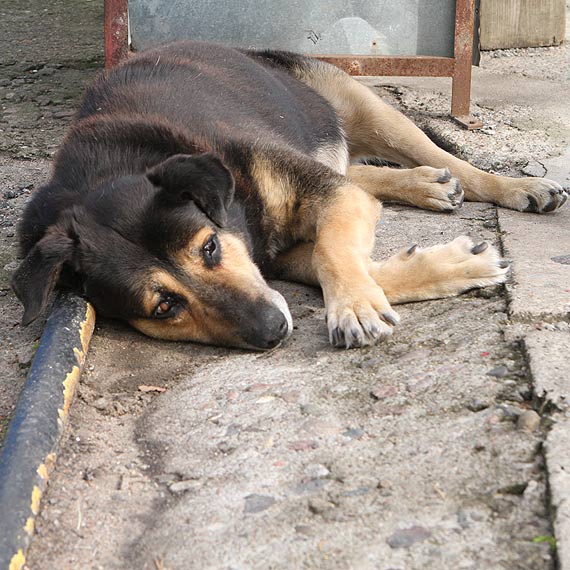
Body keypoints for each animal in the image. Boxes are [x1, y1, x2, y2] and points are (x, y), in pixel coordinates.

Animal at [11, 41, 564, 346]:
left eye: (209, 248)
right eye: (163, 307)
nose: (274, 330)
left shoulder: (326, 198)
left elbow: (333, 250)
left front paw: (355, 306)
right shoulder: (274, 254)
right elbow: (333, 257)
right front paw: (452, 267)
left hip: (362, 105)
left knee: (444, 159)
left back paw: (519, 187)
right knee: (357, 171)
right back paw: (426, 183)